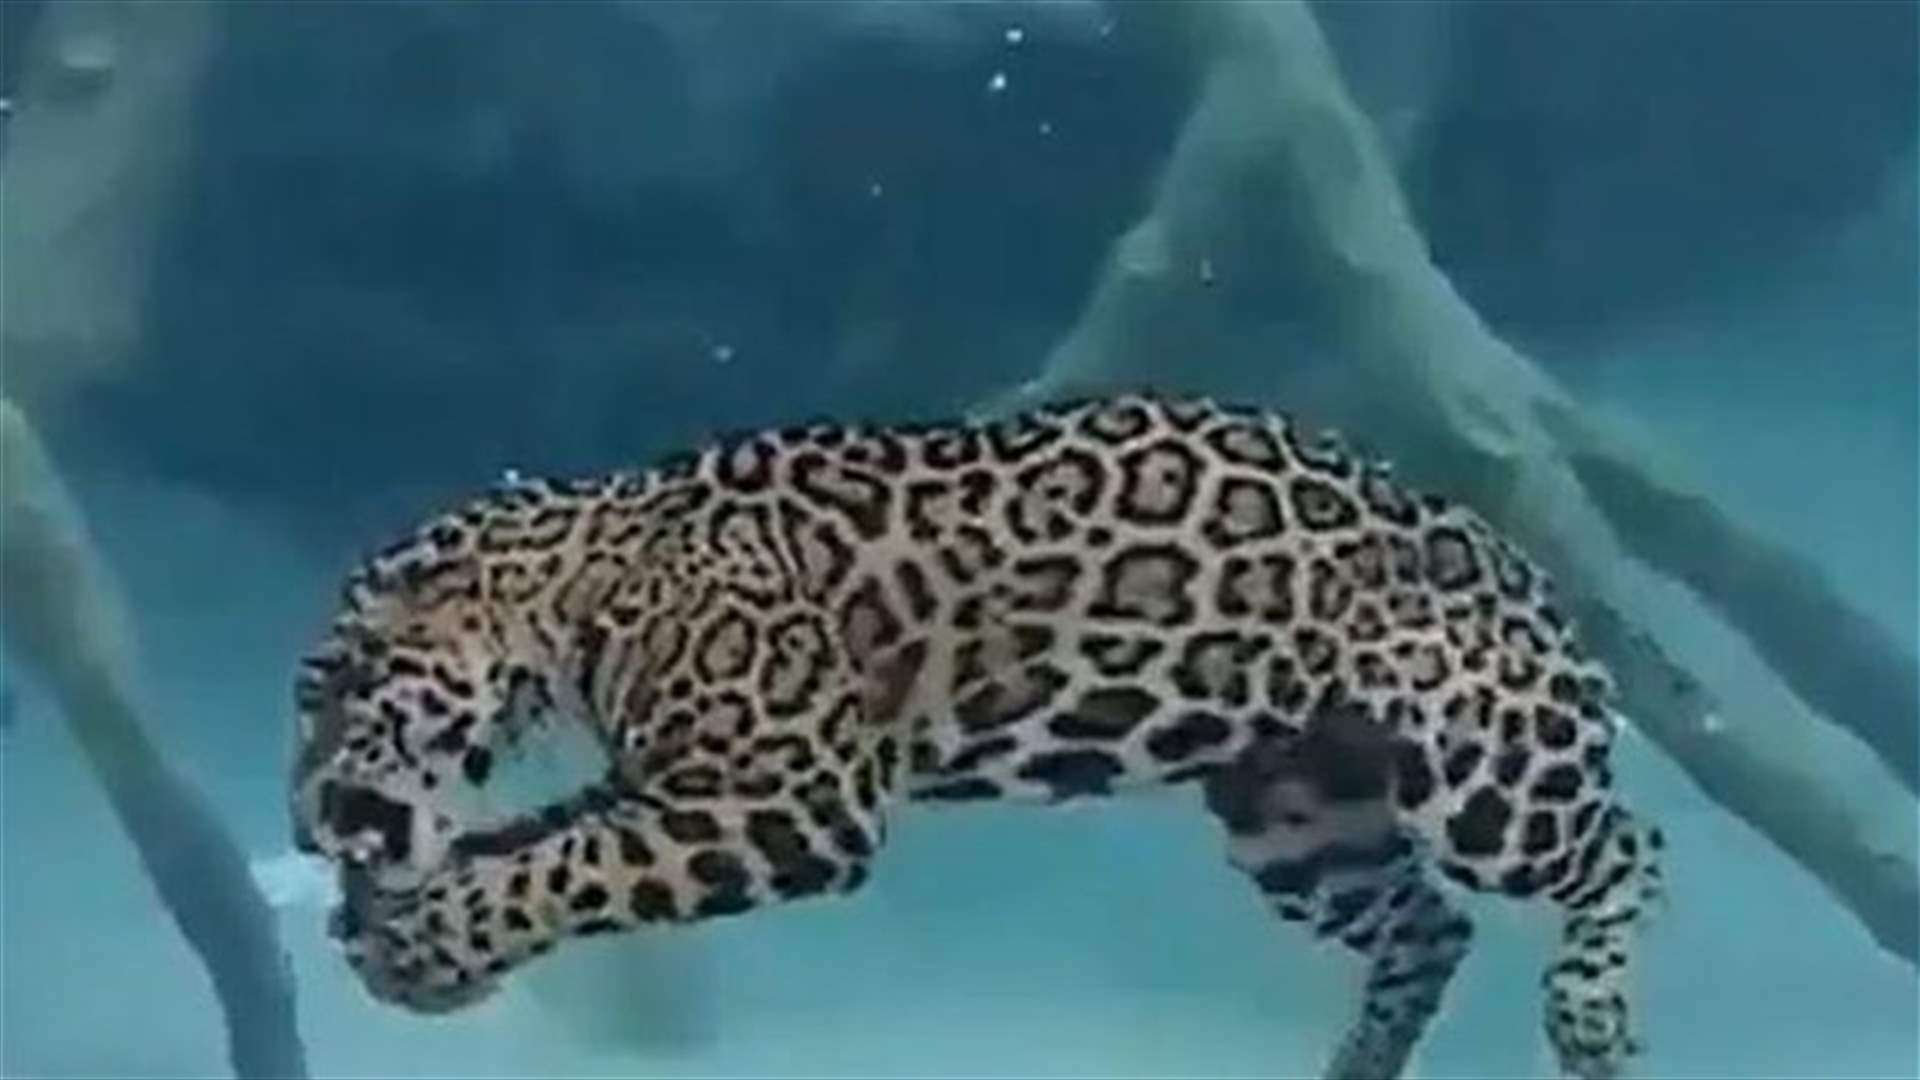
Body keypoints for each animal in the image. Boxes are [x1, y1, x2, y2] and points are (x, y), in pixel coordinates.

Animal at [289, 393, 1663, 1080]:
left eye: (329, 686)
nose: (303, 824)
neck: (584, 580)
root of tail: (1519, 565)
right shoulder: (681, 783)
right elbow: (539, 840)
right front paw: (407, 938)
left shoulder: (787, 797)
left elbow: (570, 866)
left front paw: (428, 939)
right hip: (1297, 814)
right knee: (1431, 928)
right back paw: (1356, 1069)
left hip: (1482, 772)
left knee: (1623, 846)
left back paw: (1591, 1015)